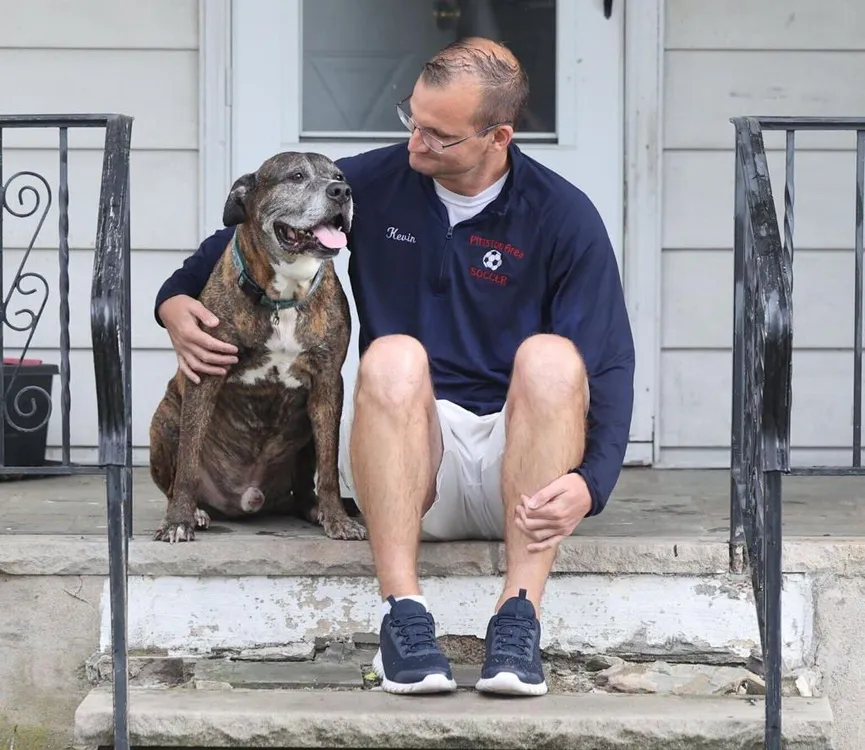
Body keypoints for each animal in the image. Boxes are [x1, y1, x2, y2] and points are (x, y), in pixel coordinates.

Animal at [148, 150, 364, 544]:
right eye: (296, 177)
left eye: (339, 175)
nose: (342, 191)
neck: (284, 294)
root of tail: (248, 499)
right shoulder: (205, 374)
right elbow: (188, 461)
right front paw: (178, 521)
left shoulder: (328, 383)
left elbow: (328, 466)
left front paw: (338, 520)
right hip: (166, 419)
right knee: (175, 477)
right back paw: (195, 511)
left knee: (305, 484)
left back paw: (315, 508)